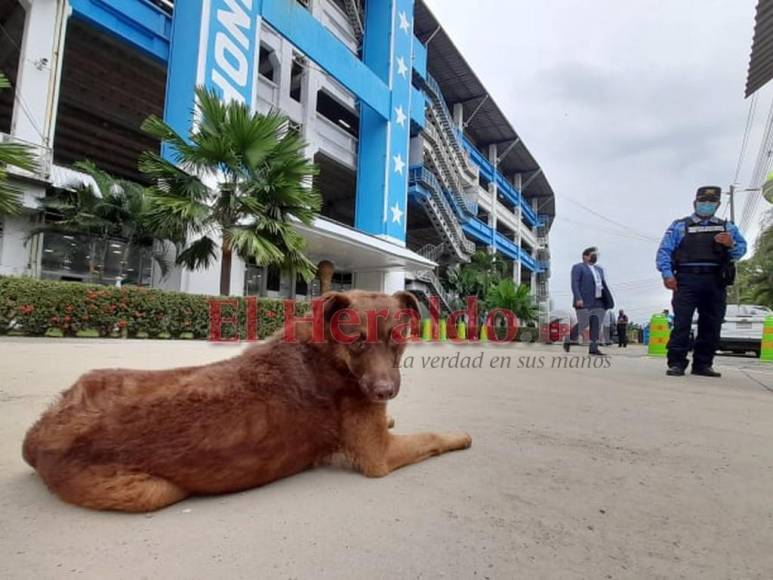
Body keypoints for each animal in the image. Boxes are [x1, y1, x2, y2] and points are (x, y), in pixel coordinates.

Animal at [22, 292, 470, 510]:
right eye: (356, 341)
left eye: (397, 338)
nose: (383, 393)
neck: (326, 352)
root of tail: (40, 434)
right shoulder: (379, 456)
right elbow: (432, 437)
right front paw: (459, 436)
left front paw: (392, 417)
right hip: (155, 492)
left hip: (97, 374)